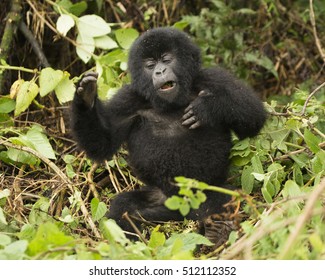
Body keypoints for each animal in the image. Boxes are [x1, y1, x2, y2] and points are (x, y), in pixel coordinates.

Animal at [70, 26, 264, 238]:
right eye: (150, 64)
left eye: (166, 59)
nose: (160, 71)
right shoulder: (128, 100)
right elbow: (102, 143)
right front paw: (86, 98)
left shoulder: (214, 78)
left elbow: (253, 116)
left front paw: (208, 107)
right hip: (163, 198)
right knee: (123, 205)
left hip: (206, 190)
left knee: (223, 197)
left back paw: (218, 228)